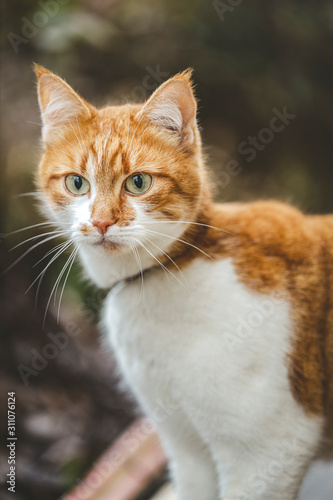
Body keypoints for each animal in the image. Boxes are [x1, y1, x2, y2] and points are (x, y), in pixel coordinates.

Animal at [34, 65, 332, 500]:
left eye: (138, 183)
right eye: (77, 183)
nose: (101, 222)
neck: (172, 271)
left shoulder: (265, 455)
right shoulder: (185, 449)